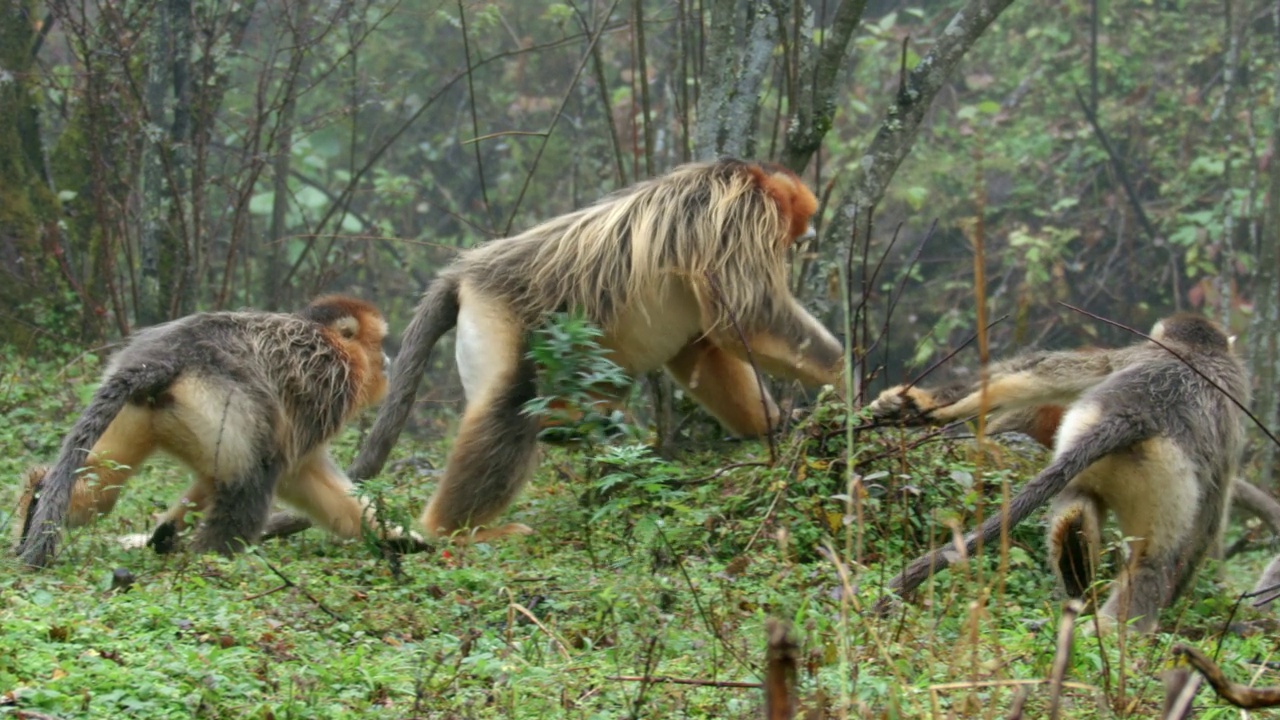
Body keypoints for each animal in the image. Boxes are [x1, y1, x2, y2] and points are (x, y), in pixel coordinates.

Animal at [15, 294, 401, 563]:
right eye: (379, 345)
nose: (388, 361)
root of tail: (163, 359)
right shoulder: (327, 386)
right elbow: (285, 472)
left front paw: (394, 537)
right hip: (218, 400)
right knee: (252, 478)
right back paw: (213, 562)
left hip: (138, 411)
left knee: (105, 486)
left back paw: (37, 496)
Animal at [350, 156, 844, 538]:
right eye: (803, 215)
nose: (811, 233)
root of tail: (468, 270)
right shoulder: (740, 217)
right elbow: (750, 319)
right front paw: (846, 382)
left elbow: (701, 349)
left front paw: (771, 424)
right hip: (498, 308)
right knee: (512, 403)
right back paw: (451, 531)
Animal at [870, 312, 1249, 627]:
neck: (1196, 350)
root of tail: (1136, 415)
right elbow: (1211, 513)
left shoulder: (1134, 355)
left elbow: (1046, 373)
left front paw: (923, 405)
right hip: (1170, 483)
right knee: (1152, 563)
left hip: (1082, 429)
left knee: (1076, 497)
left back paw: (1074, 551)